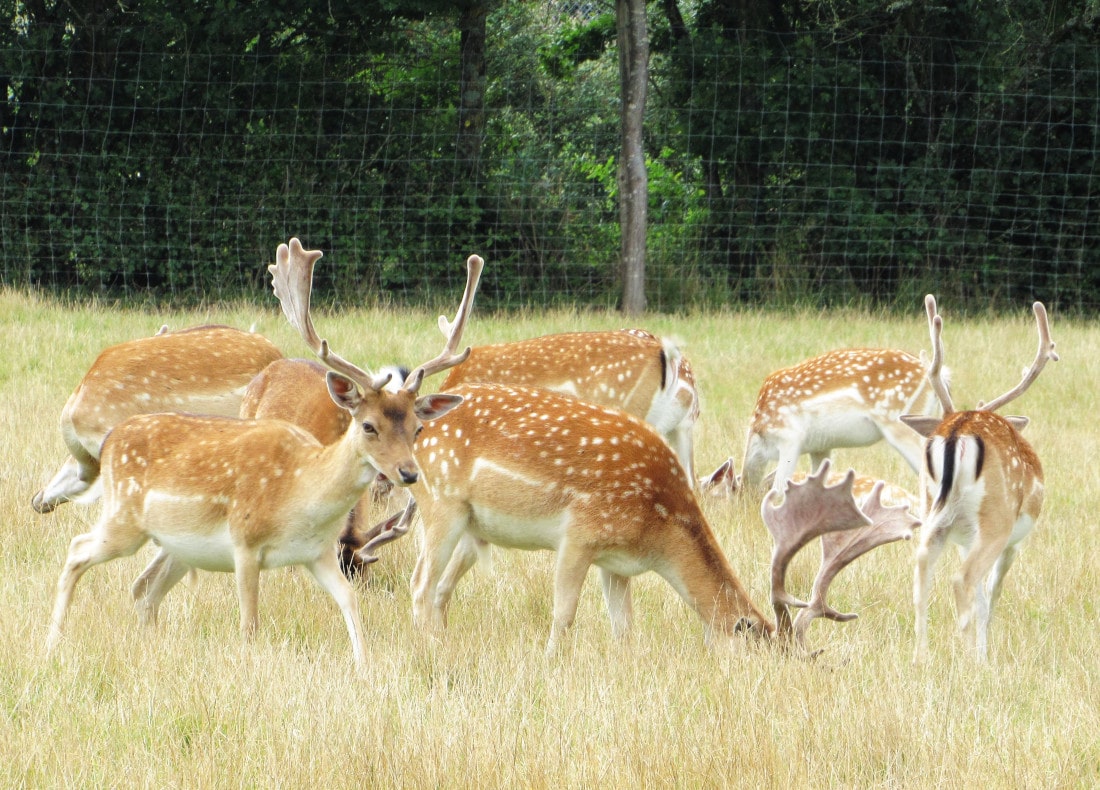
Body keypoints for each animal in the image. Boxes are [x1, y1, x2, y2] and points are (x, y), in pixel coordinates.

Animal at [902, 294, 1056, 660]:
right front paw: (986, 658)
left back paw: (920, 658)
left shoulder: (962, 539)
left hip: (933, 512)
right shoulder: (1013, 540)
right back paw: (966, 658)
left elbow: (983, 600)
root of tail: (957, 429)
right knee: (964, 580)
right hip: (995, 519)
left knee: (921, 569)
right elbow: (992, 596)